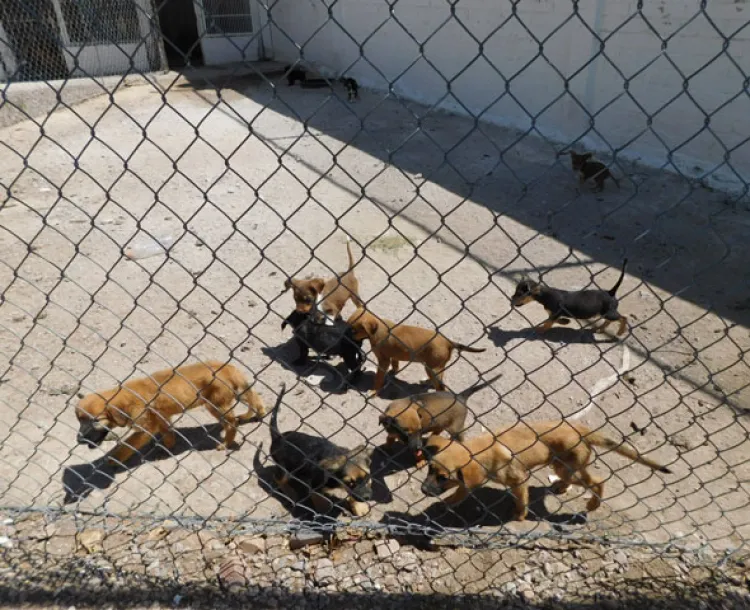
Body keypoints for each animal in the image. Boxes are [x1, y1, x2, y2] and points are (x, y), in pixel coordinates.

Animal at [75, 358, 268, 464]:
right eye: (79, 420)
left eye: (95, 421)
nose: (78, 440)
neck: (123, 399)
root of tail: (227, 367)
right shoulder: (161, 417)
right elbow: (167, 433)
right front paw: (167, 448)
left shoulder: (145, 427)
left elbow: (127, 445)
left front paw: (114, 459)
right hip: (230, 395)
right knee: (254, 399)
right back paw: (259, 413)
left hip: (216, 404)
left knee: (232, 422)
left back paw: (226, 443)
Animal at [272, 382, 374, 516]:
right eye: (350, 483)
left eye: (367, 477)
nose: (367, 498)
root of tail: (278, 437)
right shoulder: (314, 484)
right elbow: (317, 497)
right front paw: (324, 508)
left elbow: (351, 495)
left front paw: (358, 506)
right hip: (284, 468)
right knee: (278, 479)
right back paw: (290, 493)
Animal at [348, 306, 488, 396]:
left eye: (354, 331)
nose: (346, 336)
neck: (377, 329)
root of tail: (448, 342)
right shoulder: (392, 355)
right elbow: (395, 364)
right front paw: (393, 372)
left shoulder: (383, 360)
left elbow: (378, 378)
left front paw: (374, 391)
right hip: (437, 367)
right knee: (440, 379)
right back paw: (428, 381)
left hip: (433, 367)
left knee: (441, 388)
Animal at [424, 420, 676, 520]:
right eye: (429, 469)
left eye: (443, 478)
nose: (423, 490)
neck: (480, 450)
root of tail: (581, 429)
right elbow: (460, 492)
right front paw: (446, 504)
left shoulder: (519, 480)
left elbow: (522, 501)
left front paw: (519, 516)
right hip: (563, 465)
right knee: (579, 479)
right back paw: (562, 488)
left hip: (569, 467)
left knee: (597, 481)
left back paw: (593, 504)